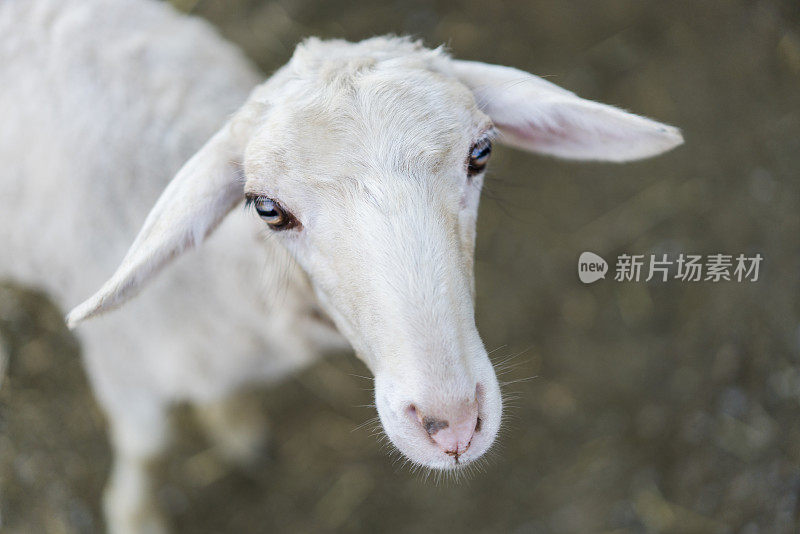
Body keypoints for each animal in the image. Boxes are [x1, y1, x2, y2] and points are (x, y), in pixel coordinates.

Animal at [0, 0, 684, 532]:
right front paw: (135, 516)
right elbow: (147, 447)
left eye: (481, 152)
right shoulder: (122, 366)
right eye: (267, 208)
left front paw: (233, 424)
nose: (452, 426)